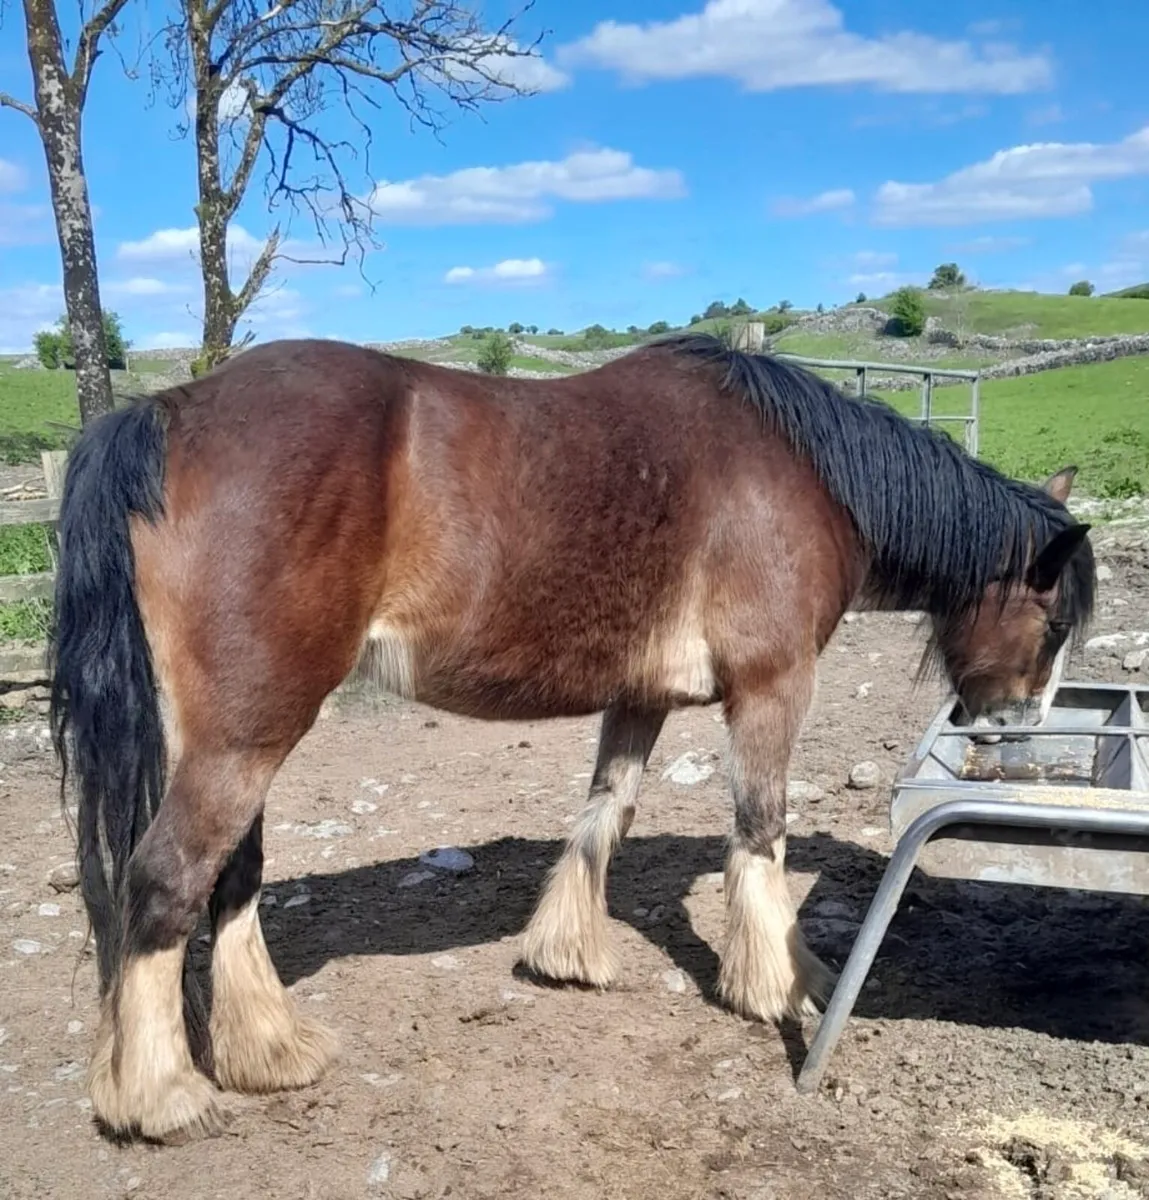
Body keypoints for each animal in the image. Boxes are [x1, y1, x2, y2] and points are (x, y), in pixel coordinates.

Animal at [47, 332, 1095, 1143]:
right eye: (1050, 622)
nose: (1012, 731)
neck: (805, 476)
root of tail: (170, 410)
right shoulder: (770, 687)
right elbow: (759, 834)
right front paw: (784, 984)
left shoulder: (640, 695)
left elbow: (604, 813)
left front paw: (567, 956)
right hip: (248, 730)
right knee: (166, 881)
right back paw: (162, 1098)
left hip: (237, 733)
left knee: (230, 880)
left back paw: (267, 1052)